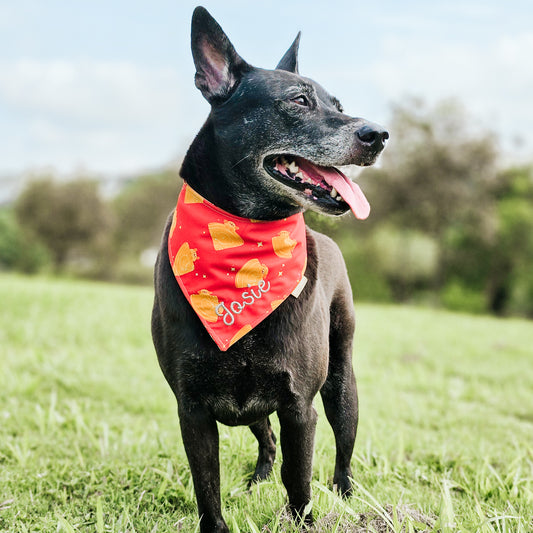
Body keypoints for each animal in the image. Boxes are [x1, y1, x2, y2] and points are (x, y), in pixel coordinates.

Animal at [152, 6, 388, 528]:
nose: (378, 135)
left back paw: (346, 494)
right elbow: (208, 490)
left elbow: (299, 482)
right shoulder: (193, 411)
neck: (247, 242)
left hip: (342, 386)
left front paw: (305, 520)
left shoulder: (300, 407)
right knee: (266, 439)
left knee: (342, 449)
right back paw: (258, 476)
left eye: (339, 103)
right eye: (298, 101)